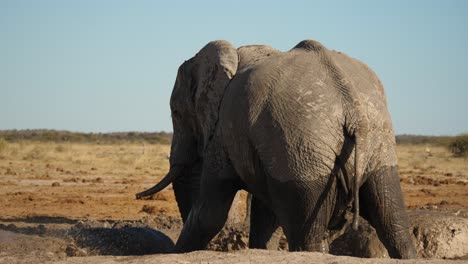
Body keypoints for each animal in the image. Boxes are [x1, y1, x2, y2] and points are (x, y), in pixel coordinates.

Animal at [136, 39, 416, 258]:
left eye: (176, 112)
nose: (139, 195)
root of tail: (352, 109)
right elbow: (266, 217)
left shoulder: (224, 130)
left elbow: (210, 211)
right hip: (373, 142)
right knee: (393, 221)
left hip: (303, 149)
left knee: (307, 235)